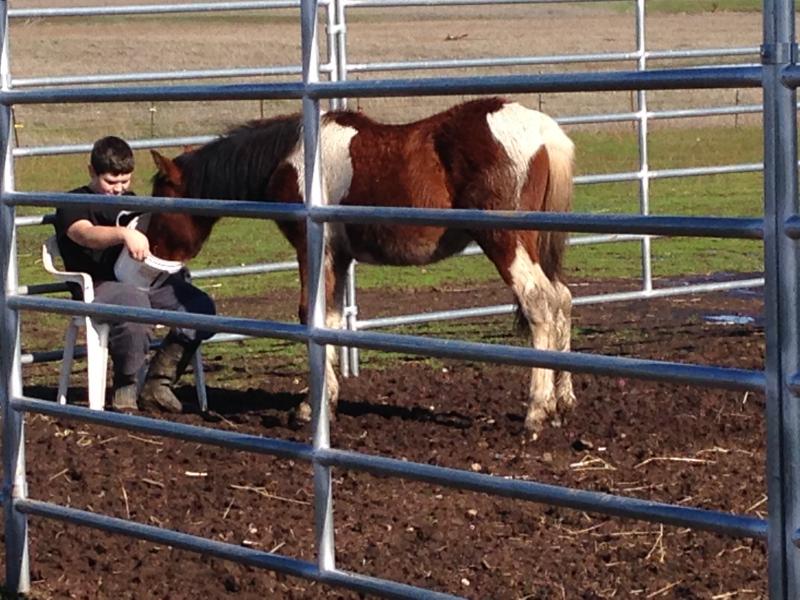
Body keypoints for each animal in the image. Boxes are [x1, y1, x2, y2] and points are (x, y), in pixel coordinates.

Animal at [147, 96, 575, 440]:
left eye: (160, 200)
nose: (148, 250)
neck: (291, 159)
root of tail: (545, 133)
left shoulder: (314, 249)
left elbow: (311, 314)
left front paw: (310, 408)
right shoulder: (339, 257)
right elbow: (332, 321)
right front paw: (327, 401)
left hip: (506, 242)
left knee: (539, 304)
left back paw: (536, 413)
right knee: (562, 300)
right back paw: (562, 404)